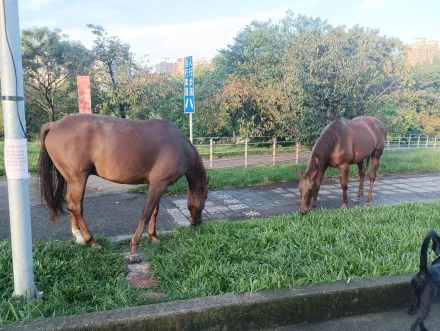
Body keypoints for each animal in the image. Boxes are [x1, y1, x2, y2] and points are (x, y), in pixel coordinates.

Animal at [38, 113, 209, 264]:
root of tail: (54, 125)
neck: (180, 146)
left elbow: (154, 211)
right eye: (205, 198)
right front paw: (134, 247)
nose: (197, 223)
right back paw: (91, 241)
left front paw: (154, 237)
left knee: (70, 204)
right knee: (76, 207)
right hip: (78, 179)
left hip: (73, 181)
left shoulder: (156, 185)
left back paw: (78, 237)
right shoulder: (159, 185)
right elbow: (146, 214)